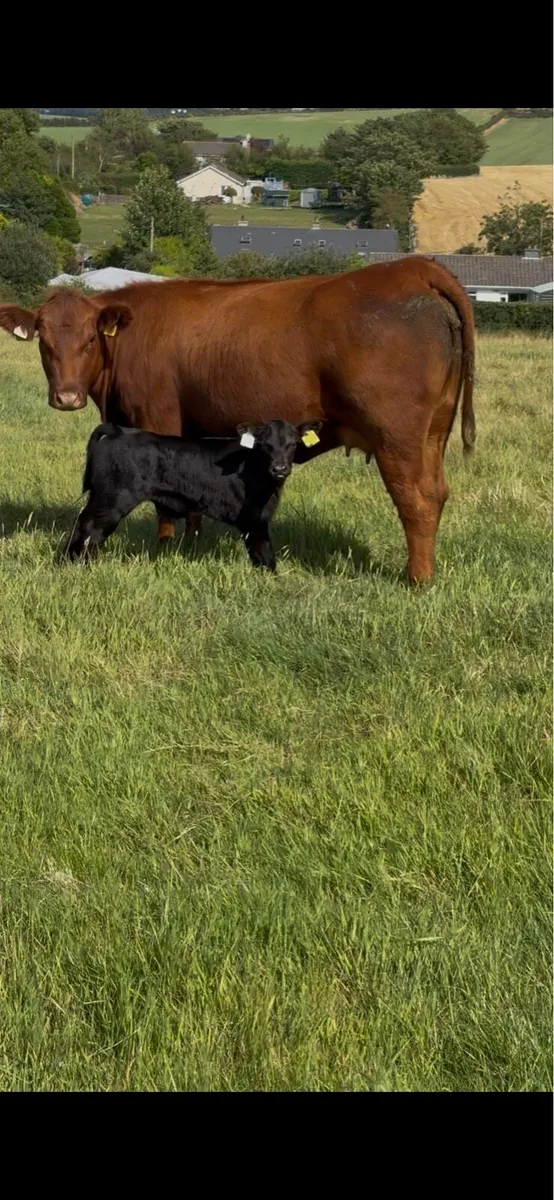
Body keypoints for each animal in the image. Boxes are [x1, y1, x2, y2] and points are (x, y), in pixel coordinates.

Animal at [65, 418, 323, 570]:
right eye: (264, 444)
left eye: (292, 444)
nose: (279, 468)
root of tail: (118, 431)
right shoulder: (254, 520)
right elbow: (265, 556)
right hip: (112, 501)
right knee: (89, 531)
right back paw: (78, 566)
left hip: (100, 499)